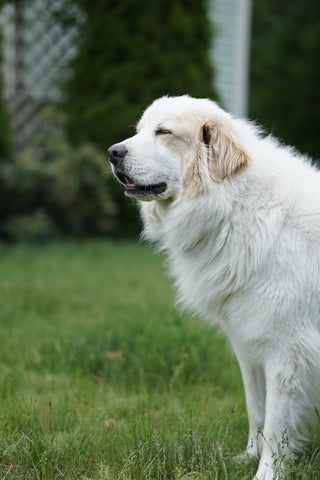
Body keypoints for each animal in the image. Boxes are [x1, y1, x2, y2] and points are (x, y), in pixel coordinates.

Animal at [107, 95, 320, 478]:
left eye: (164, 132)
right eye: (139, 131)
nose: (112, 152)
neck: (233, 204)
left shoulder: (288, 351)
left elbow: (277, 421)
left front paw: (267, 472)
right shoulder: (249, 345)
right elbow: (257, 408)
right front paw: (248, 457)